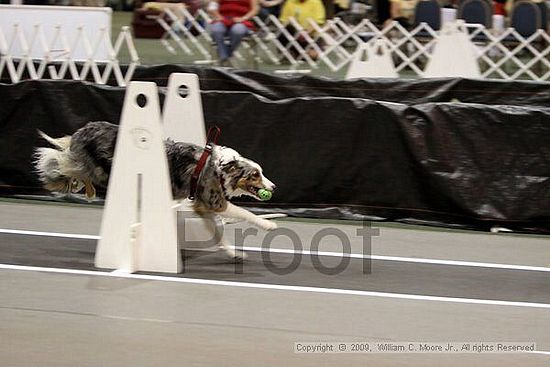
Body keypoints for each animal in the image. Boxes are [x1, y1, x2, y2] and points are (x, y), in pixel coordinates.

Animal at [33, 120, 280, 258]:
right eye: (255, 175)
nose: (273, 186)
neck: (220, 167)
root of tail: (82, 130)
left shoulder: (202, 206)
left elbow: (219, 234)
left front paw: (233, 252)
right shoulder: (213, 201)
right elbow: (245, 212)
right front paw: (268, 224)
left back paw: (85, 190)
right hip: (95, 168)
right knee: (61, 161)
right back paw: (58, 176)